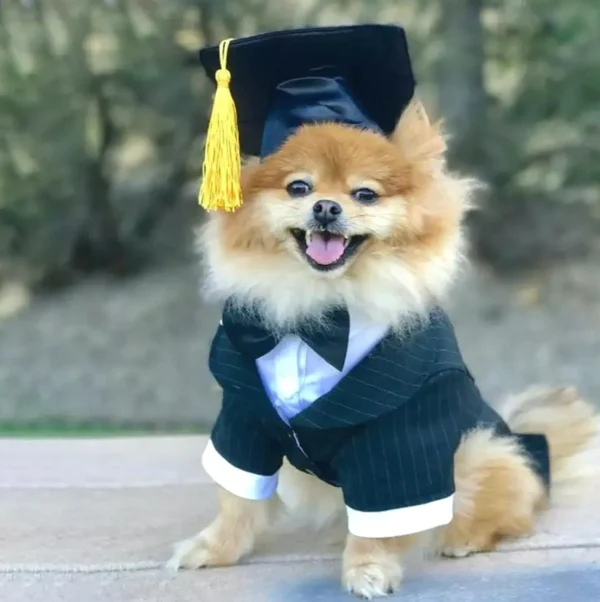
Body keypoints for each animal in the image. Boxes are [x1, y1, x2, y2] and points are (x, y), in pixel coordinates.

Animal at [168, 98, 600, 596]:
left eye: (365, 195)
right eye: (299, 187)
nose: (326, 207)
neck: (321, 312)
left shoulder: (397, 436)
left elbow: (380, 517)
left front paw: (368, 569)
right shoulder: (245, 416)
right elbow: (237, 500)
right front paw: (212, 548)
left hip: (479, 451)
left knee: (505, 511)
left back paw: (464, 540)